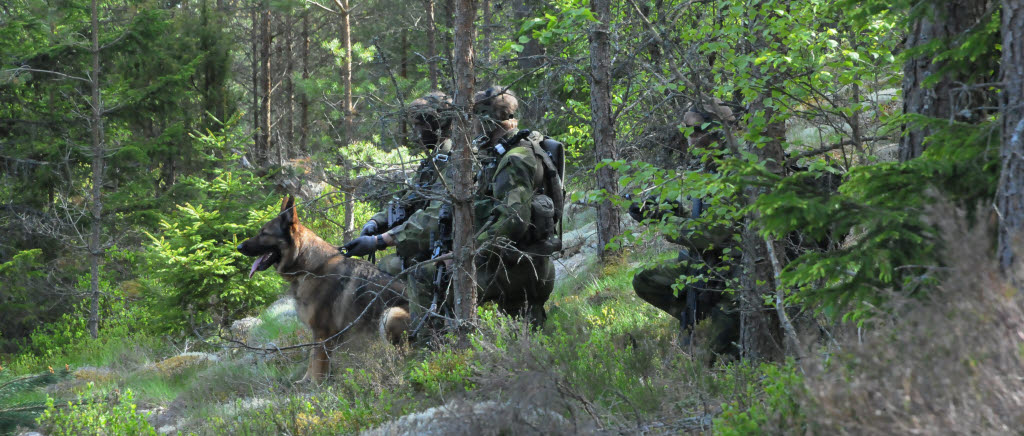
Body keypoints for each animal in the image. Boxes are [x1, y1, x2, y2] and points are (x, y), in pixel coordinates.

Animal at [237, 196, 409, 380]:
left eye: (264, 233)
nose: (238, 247)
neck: (309, 268)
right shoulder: (317, 334)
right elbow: (312, 362)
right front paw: (304, 381)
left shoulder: (323, 333)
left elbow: (318, 366)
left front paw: (315, 385)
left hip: (390, 314)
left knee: (402, 354)